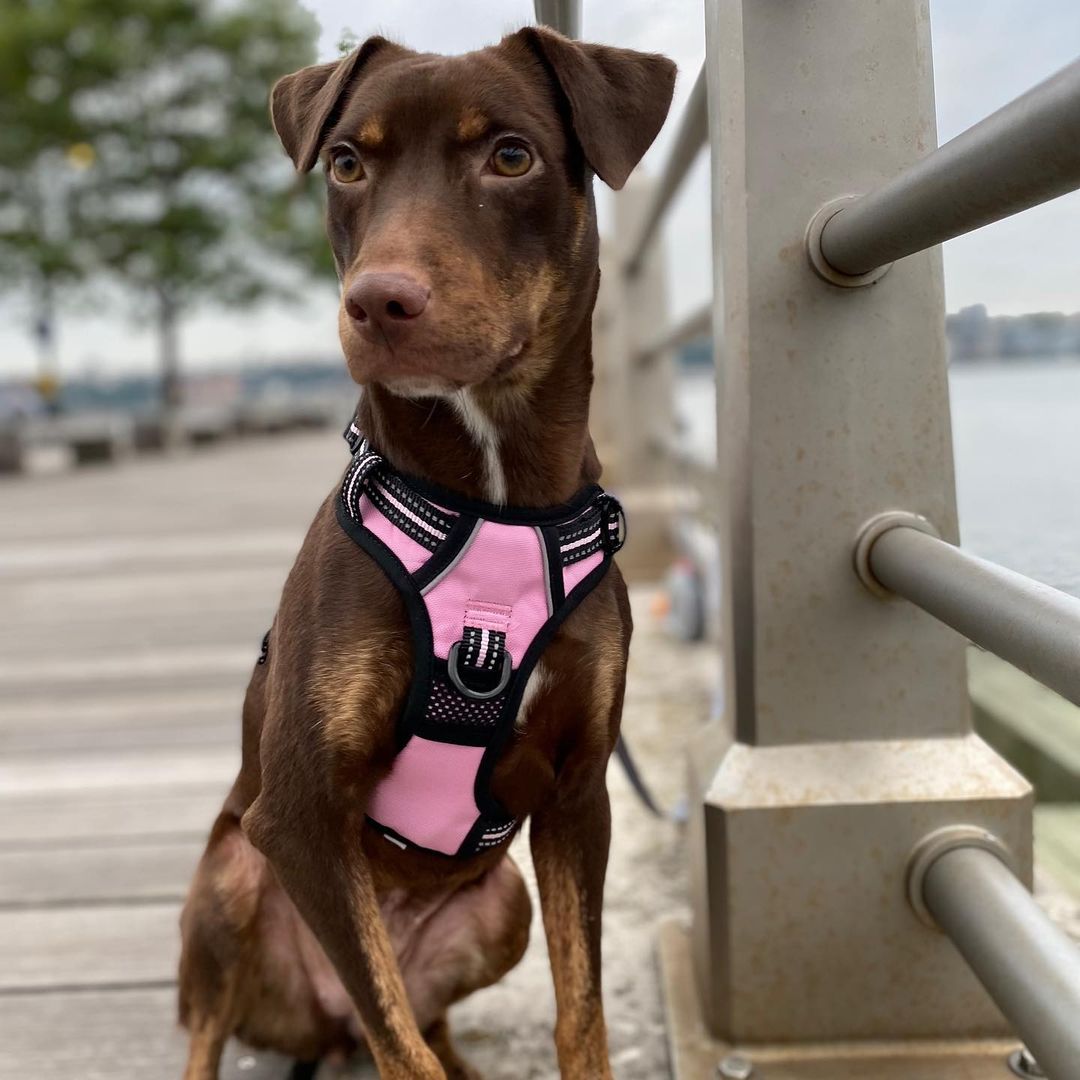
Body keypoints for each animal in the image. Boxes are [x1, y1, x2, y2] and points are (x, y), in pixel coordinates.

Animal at [177, 25, 673, 1080]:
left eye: (512, 156)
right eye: (346, 163)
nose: (378, 301)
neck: (491, 499)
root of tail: (320, 1023)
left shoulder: (580, 793)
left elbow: (582, 1012)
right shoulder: (297, 816)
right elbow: (402, 1048)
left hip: (502, 906)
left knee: (430, 1014)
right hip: (233, 879)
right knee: (256, 1020)